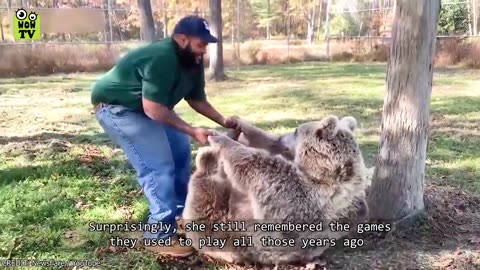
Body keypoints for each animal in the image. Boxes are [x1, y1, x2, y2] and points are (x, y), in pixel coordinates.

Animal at [182, 115, 370, 266]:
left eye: (296, 131)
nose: (283, 137)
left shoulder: (305, 197)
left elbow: (258, 164)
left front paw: (219, 137)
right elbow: (268, 144)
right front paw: (239, 124)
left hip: (226, 231)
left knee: (204, 200)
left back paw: (207, 158)